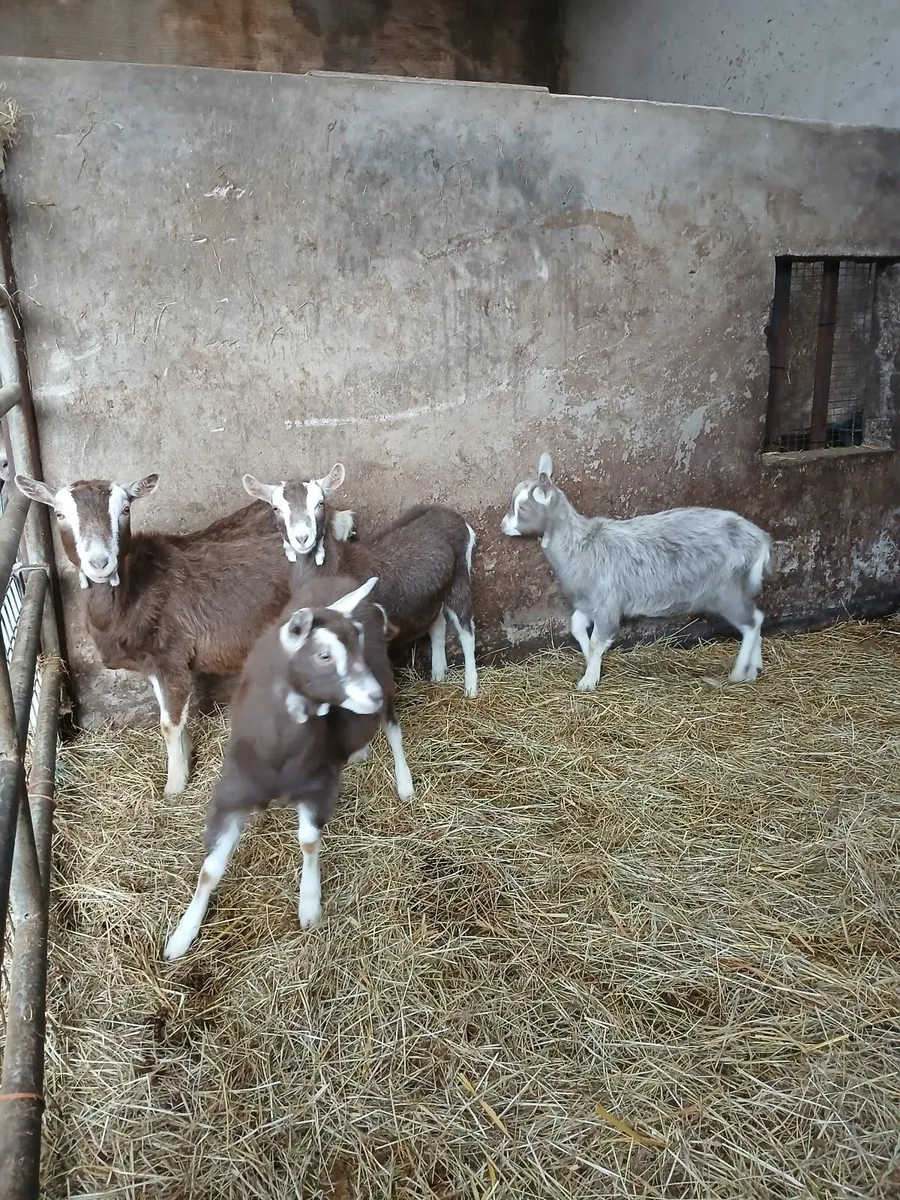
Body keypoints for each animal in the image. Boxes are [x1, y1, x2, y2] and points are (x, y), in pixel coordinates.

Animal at [14, 471, 357, 795]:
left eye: (125, 509)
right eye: (59, 514)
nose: (99, 562)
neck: (132, 591)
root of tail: (337, 517)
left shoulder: (170, 656)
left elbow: (169, 724)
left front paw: (174, 786)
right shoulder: (152, 663)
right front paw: (186, 756)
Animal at [163, 573, 411, 959]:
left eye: (357, 639)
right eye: (324, 655)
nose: (371, 695)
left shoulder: (318, 785)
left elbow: (308, 842)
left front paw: (309, 905)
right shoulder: (232, 794)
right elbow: (209, 870)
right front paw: (181, 936)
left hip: (386, 679)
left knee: (392, 727)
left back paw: (404, 783)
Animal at [243, 464, 479, 698]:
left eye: (320, 503)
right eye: (276, 508)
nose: (302, 538)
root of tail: (452, 516)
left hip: (460, 575)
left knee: (466, 631)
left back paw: (471, 688)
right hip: (433, 593)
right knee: (437, 623)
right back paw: (438, 674)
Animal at [501, 453, 772, 690]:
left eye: (523, 508)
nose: (503, 526)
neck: (581, 545)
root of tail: (760, 540)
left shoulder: (607, 601)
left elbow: (599, 639)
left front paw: (588, 680)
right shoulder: (589, 601)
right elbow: (577, 627)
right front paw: (590, 663)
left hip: (726, 589)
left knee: (751, 622)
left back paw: (739, 673)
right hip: (738, 587)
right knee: (757, 617)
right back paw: (754, 669)